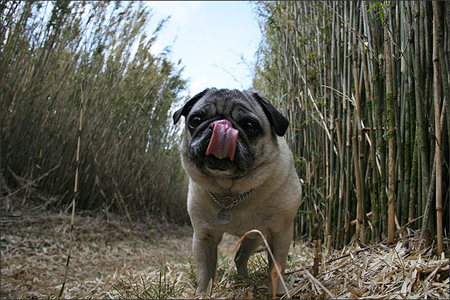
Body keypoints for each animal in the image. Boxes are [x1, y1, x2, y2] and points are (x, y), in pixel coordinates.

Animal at [172, 88, 302, 294]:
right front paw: (203, 293)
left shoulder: (280, 234)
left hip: (256, 236)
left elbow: (276, 269)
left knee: (241, 257)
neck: (231, 193)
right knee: (239, 257)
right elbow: (205, 272)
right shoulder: (204, 237)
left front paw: (279, 291)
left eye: (249, 125)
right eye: (195, 120)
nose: (220, 125)